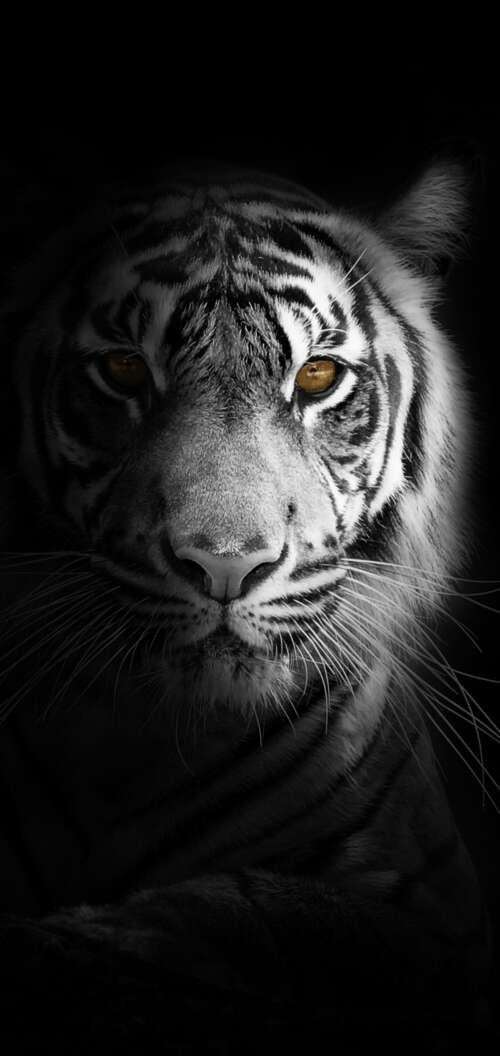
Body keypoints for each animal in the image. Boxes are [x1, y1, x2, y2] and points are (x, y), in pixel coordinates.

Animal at [0, 159, 493, 1052]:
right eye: (123, 371)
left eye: (317, 378)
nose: (226, 565)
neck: (141, 743)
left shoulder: (439, 923)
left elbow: (263, 913)